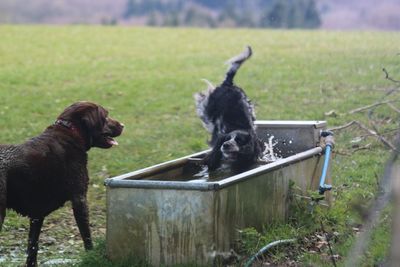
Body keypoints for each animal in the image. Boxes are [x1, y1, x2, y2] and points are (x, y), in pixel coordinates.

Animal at [0, 101, 123, 266]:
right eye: (106, 115)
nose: (123, 125)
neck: (70, 131)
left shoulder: (37, 215)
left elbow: (33, 246)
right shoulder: (79, 199)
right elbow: (87, 236)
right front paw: (92, 255)